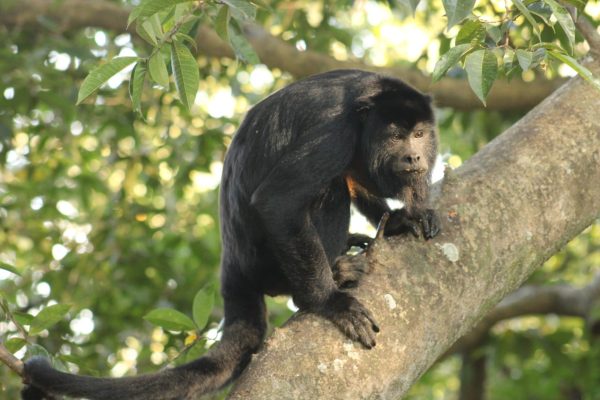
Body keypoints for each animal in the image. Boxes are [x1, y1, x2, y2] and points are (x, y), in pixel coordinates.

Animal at [21, 69, 438, 400]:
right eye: (396, 136)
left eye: (419, 134)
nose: (415, 157)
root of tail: (231, 262)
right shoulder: (334, 132)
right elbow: (279, 200)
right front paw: (331, 302)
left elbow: (356, 177)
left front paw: (402, 218)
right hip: (265, 263)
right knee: (328, 189)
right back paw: (333, 275)